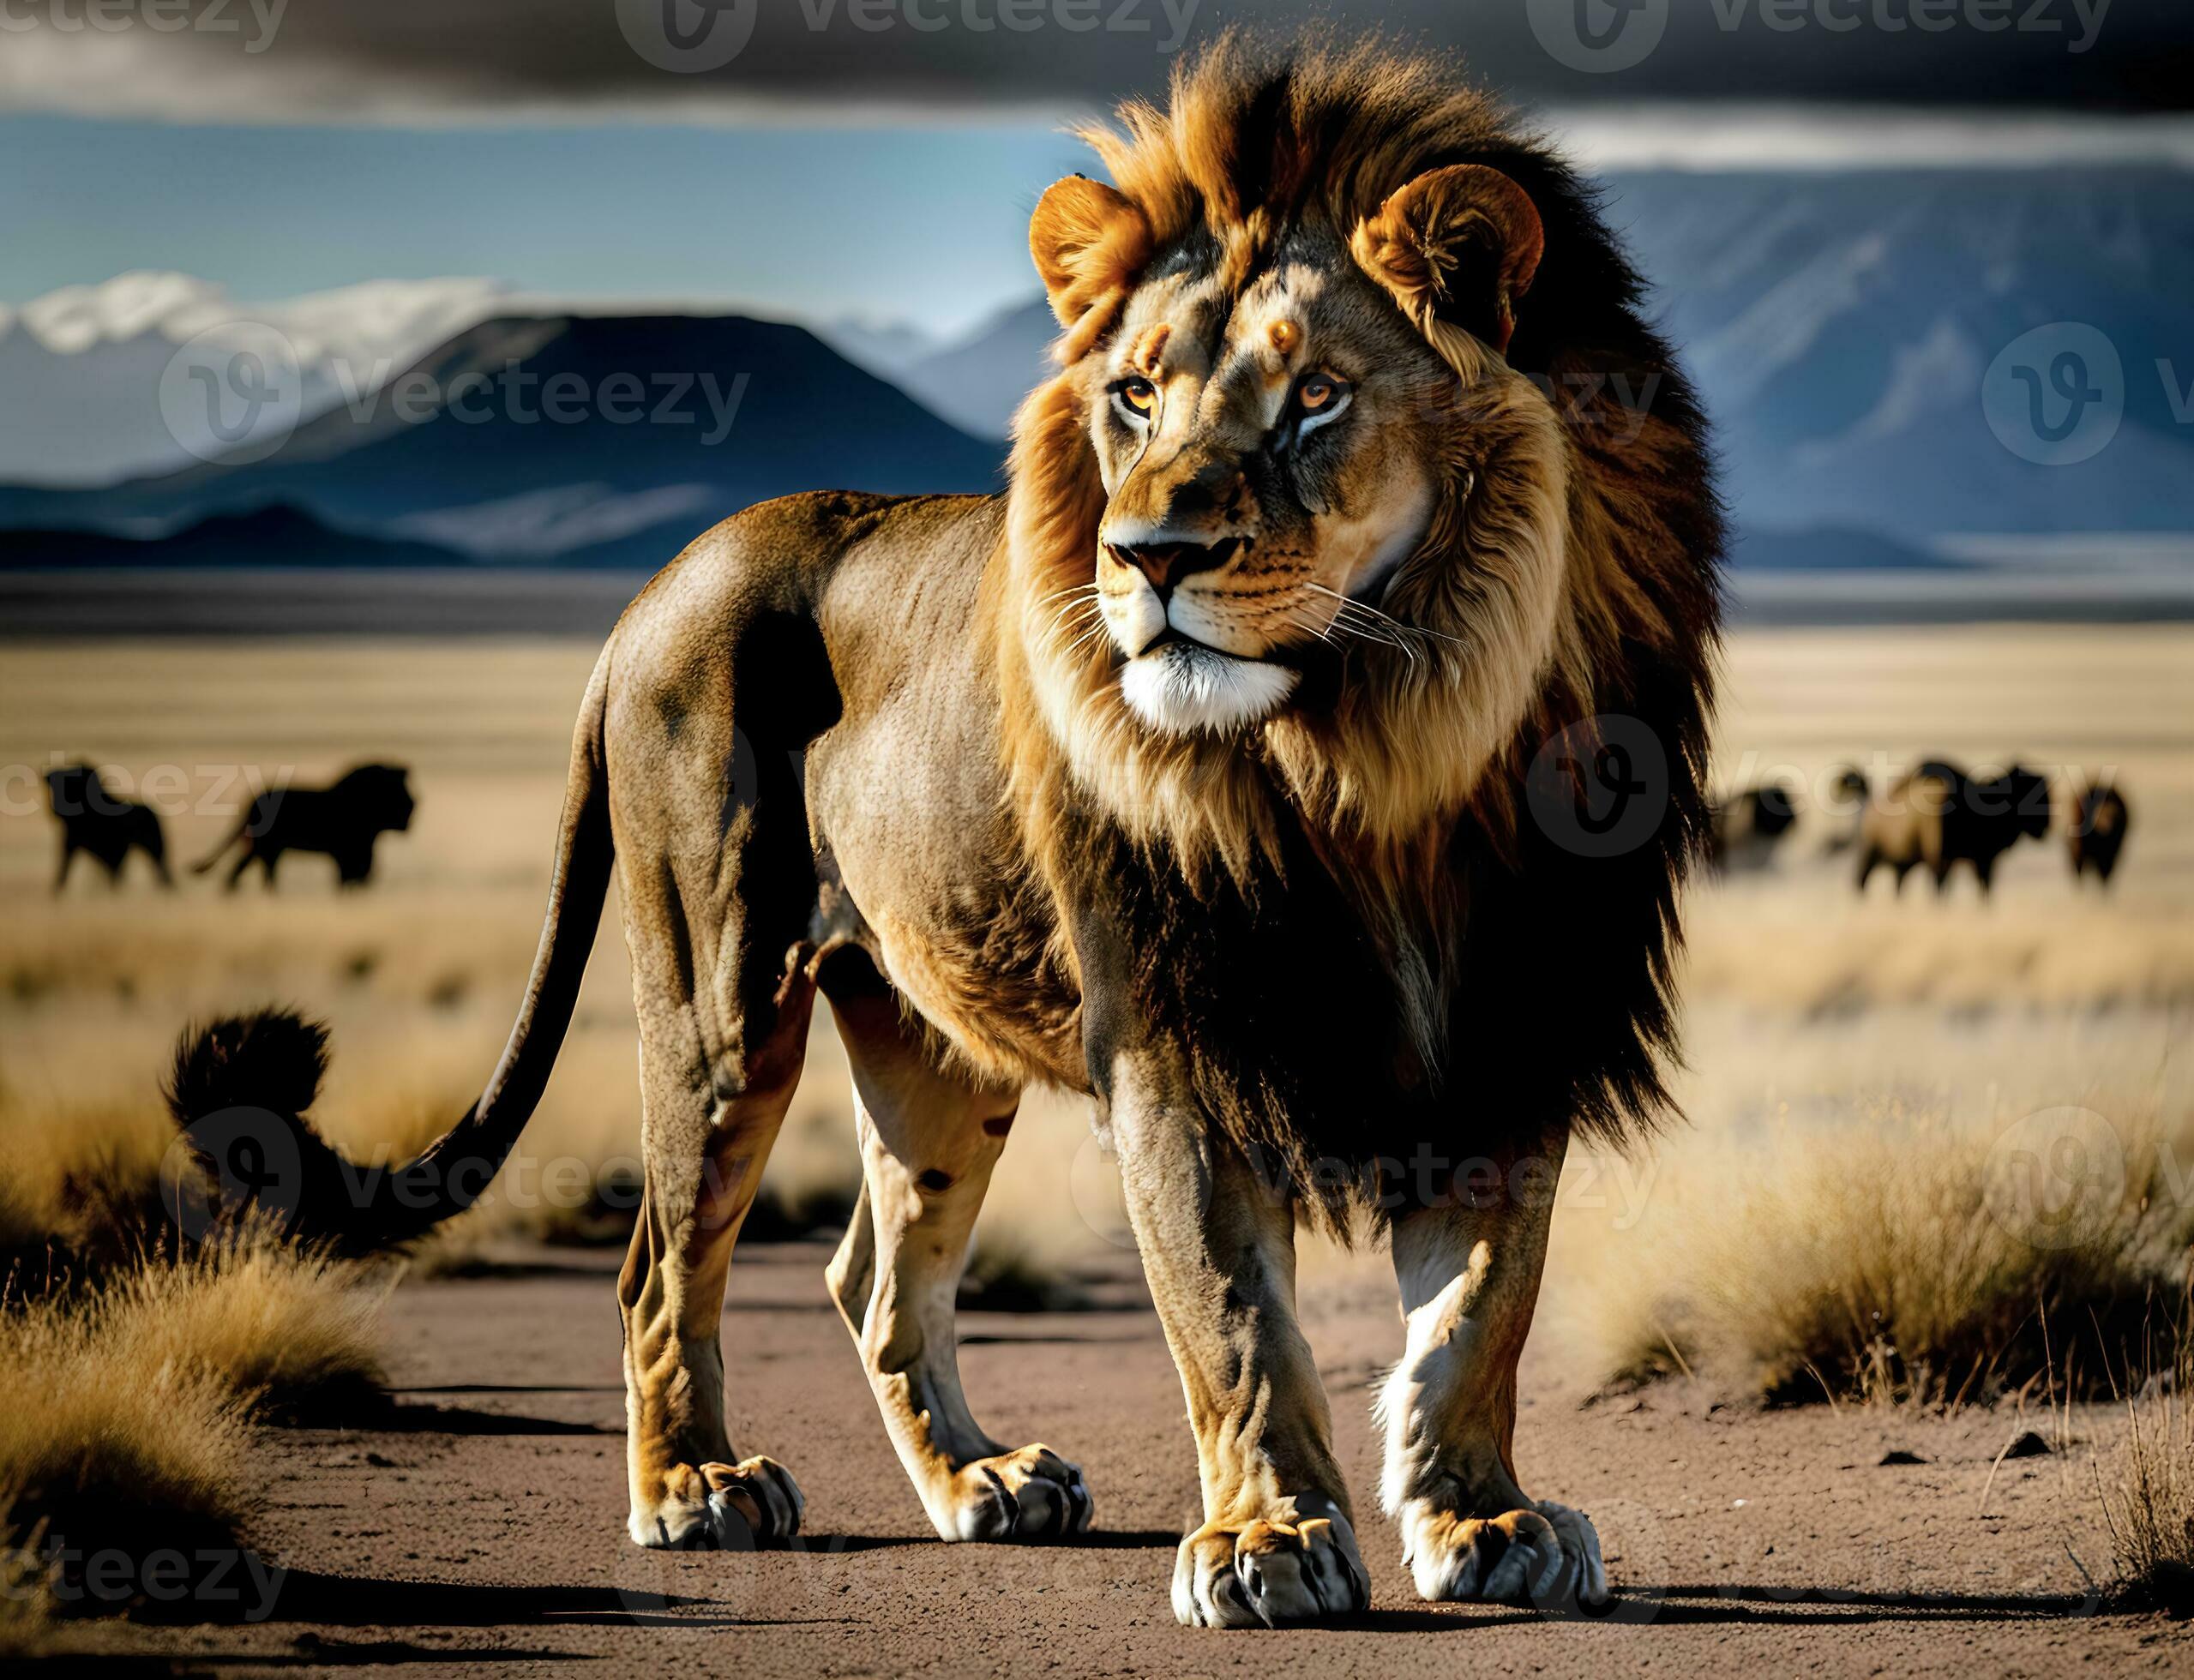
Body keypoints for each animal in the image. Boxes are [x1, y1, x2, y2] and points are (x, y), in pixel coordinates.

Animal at [193, 767, 414, 894]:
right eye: (400, 795)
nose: (414, 805)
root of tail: (252, 803)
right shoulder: (344, 856)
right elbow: (344, 881)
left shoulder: (361, 857)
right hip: (268, 849)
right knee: (262, 873)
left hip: (260, 848)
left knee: (239, 870)